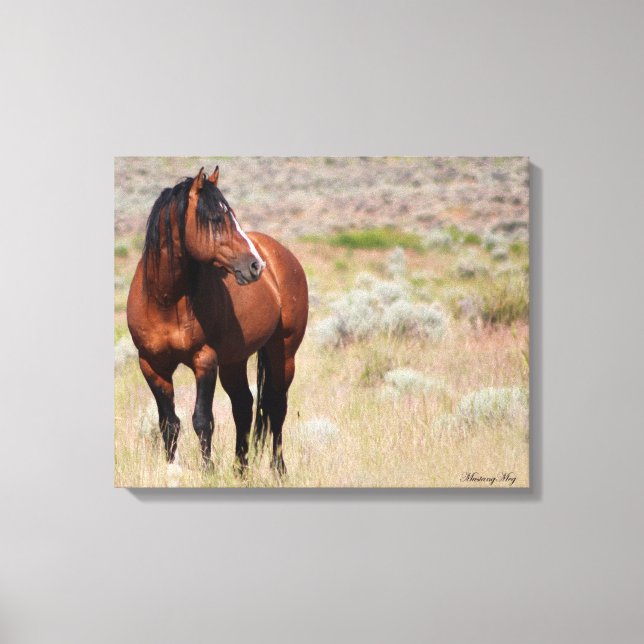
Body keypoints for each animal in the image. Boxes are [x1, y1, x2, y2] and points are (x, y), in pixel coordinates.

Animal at [126, 167, 308, 476]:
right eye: (215, 218)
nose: (255, 265)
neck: (165, 300)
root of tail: (280, 254)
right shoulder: (151, 365)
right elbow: (168, 422)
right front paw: (172, 468)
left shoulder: (205, 360)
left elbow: (202, 419)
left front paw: (207, 471)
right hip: (235, 361)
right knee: (244, 406)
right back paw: (240, 470)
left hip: (283, 352)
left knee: (276, 406)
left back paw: (278, 470)